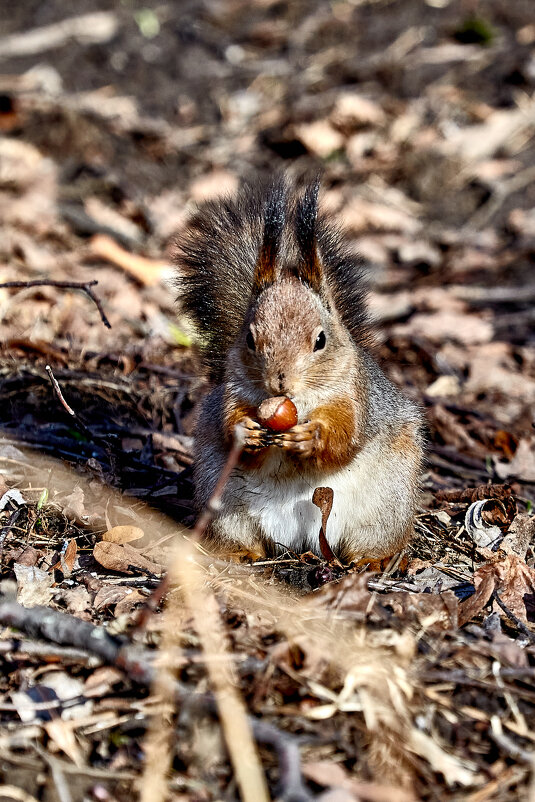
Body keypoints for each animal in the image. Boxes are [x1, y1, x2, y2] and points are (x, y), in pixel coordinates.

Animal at [174, 177, 426, 560]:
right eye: (249, 338)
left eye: (320, 340)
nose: (280, 382)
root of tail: (298, 539)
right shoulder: (232, 394)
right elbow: (231, 424)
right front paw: (245, 431)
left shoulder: (355, 398)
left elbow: (345, 436)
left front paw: (311, 437)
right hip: (223, 501)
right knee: (242, 536)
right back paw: (239, 553)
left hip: (386, 503)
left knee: (375, 538)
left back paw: (373, 560)